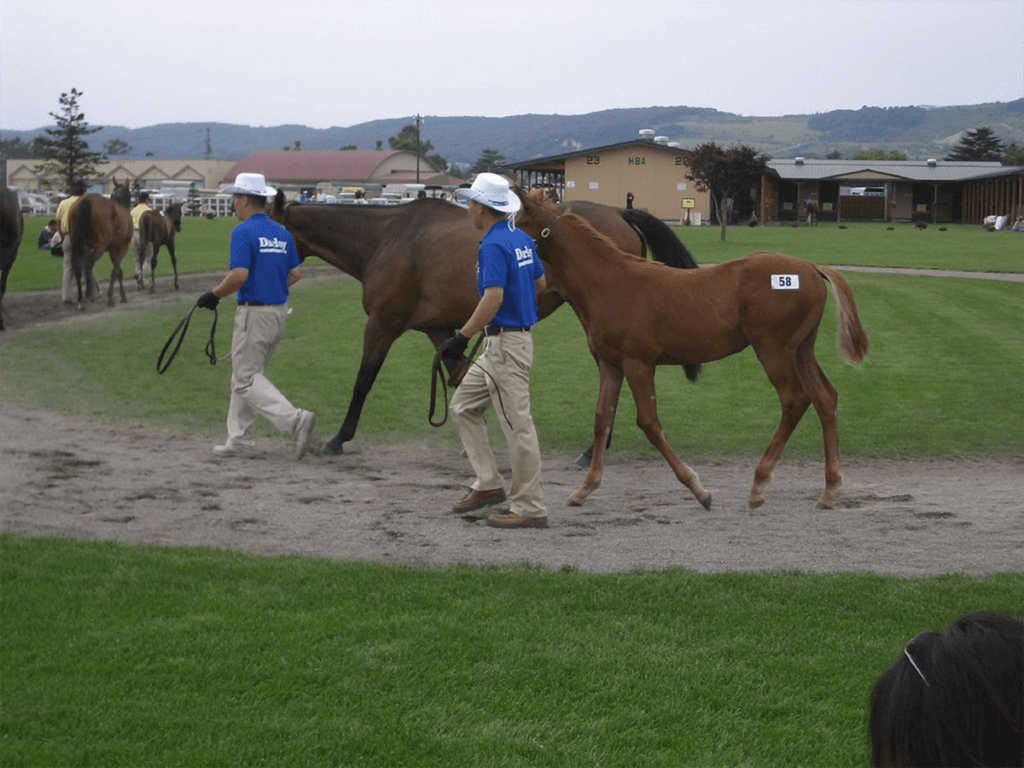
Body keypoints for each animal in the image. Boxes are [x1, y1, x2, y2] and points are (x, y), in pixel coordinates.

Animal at [269, 192, 700, 457]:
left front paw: (338, 438)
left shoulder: (381, 325)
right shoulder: (441, 330)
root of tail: (618, 211)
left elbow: (363, 381)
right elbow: (459, 372)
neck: (386, 237)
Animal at [514, 190, 869, 511]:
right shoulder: (610, 363)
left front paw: (699, 489)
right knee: (825, 397)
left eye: (514, 221)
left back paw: (759, 484)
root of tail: (810, 267)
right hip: (801, 350)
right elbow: (603, 418)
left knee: (795, 400)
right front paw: (585, 487)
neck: (611, 283)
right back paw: (829, 489)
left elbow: (649, 423)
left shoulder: (638, 363)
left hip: (774, 350)